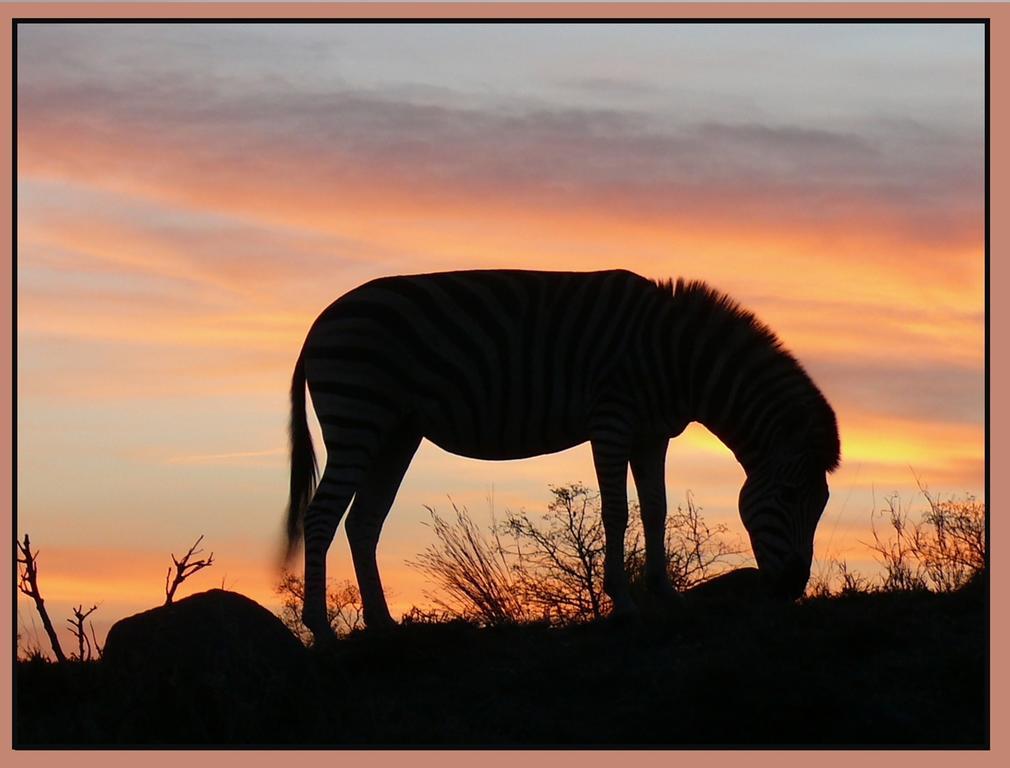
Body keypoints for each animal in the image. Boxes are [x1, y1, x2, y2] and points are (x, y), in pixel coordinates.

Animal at [284, 270, 836, 642]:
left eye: (821, 504)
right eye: (789, 495)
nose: (793, 588)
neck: (677, 356)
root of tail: (319, 322)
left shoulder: (652, 434)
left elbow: (655, 511)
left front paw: (667, 596)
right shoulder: (612, 419)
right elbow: (618, 511)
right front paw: (625, 604)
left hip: (396, 431)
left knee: (363, 521)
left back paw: (383, 625)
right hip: (358, 415)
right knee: (321, 517)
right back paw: (322, 629)